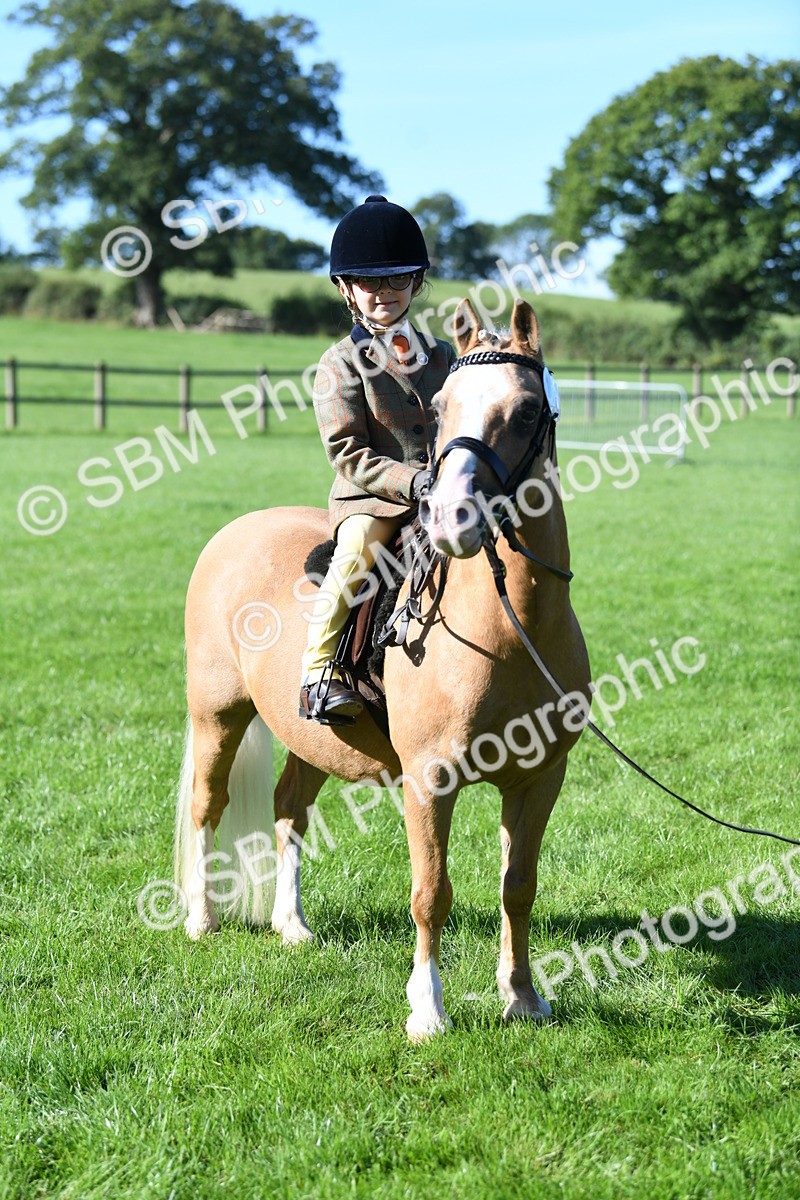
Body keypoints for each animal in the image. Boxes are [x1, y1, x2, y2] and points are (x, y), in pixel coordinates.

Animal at [175, 297, 591, 1039]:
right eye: (444, 408)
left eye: (522, 413)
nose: (451, 516)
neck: (511, 628)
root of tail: (235, 531)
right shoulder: (430, 781)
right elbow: (431, 893)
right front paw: (427, 1010)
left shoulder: (540, 778)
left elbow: (519, 887)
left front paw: (522, 996)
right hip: (218, 714)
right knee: (207, 804)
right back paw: (202, 918)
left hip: (310, 735)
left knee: (289, 808)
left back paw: (292, 925)